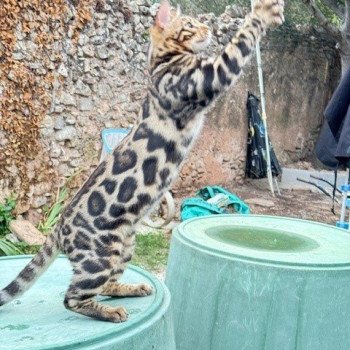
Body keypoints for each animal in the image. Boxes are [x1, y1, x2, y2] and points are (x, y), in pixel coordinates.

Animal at [0, 0, 284, 322]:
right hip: (99, 257)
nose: (209, 30)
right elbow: (239, 43)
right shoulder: (208, 75)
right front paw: (262, 13)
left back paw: (132, 288)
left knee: (107, 284)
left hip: (124, 245)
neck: (160, 62)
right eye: (190, 25)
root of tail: (58, 228)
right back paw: (109, 313)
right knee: (73, 297)